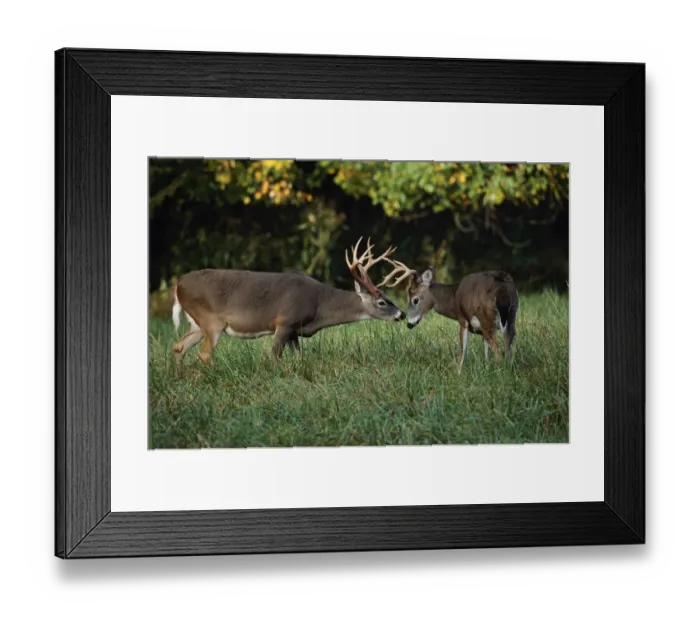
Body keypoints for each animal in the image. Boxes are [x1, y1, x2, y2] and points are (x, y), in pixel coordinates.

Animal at [170, 238, 406, 366]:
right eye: (382, 302)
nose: (402, 314)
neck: (320, 305)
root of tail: (178, 283)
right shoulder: (284, 321)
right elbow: (274, 356)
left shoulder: (294, 329)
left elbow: (300, 357)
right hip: (212, 321)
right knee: (204, 353)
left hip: (196, 323)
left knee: (178, 346)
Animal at [380, 260, 519, 374]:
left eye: (415, 300)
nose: (409, 324)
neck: (453, 297)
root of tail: (502, 291)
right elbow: (485, 349)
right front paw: (486, 368)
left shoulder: (463, 319)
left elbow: (462, 351)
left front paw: (458, 374)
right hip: (511, 315)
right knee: (508, 345)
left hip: (487, 318)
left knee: (499, 351)